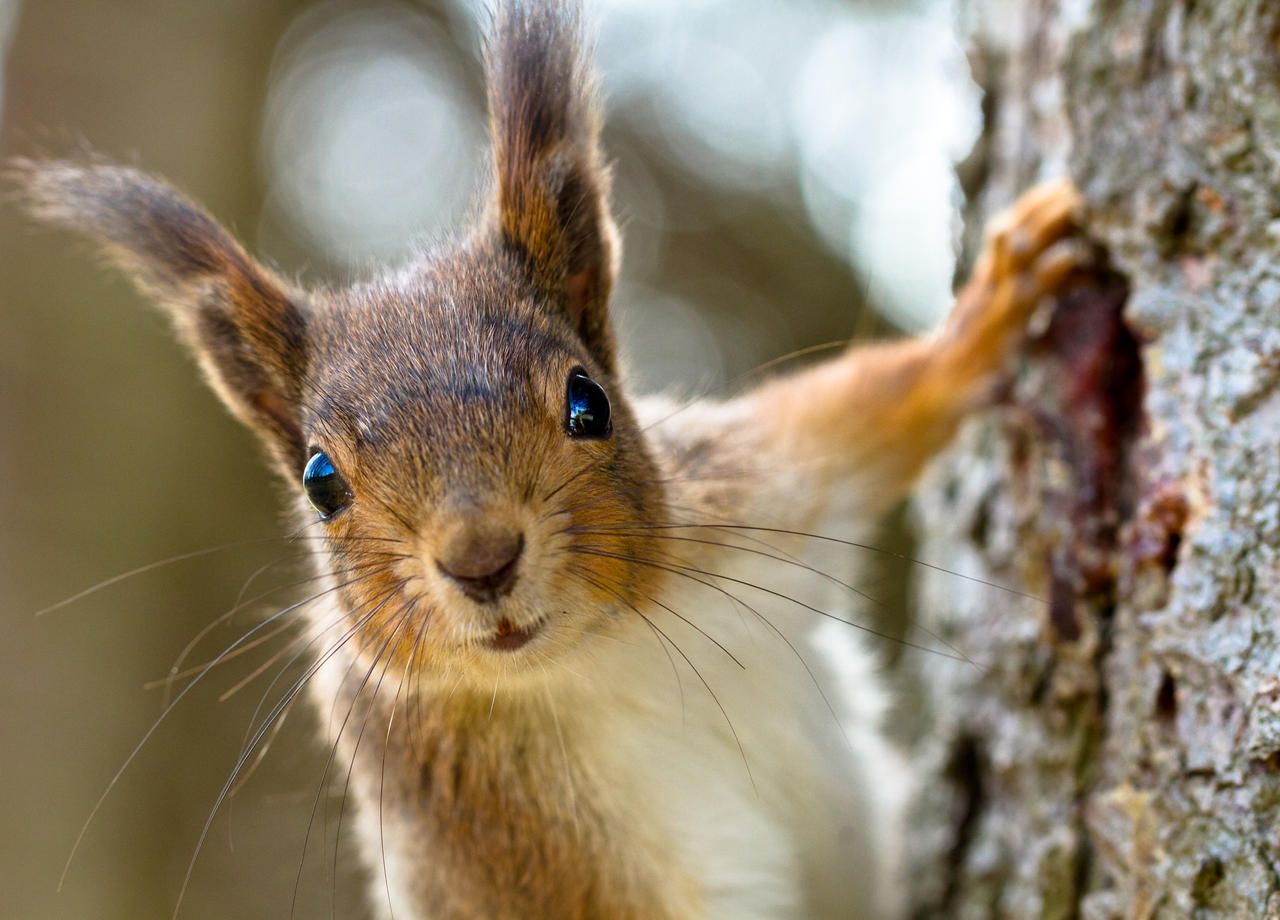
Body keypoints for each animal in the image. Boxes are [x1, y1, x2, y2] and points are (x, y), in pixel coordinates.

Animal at [15, 1, 1085, 920]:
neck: (585, 659)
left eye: (588, 401)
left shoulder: (744, 497)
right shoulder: (504, 848)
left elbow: (862, 419)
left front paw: (986, 319)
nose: (482, 560)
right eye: (321, 483)